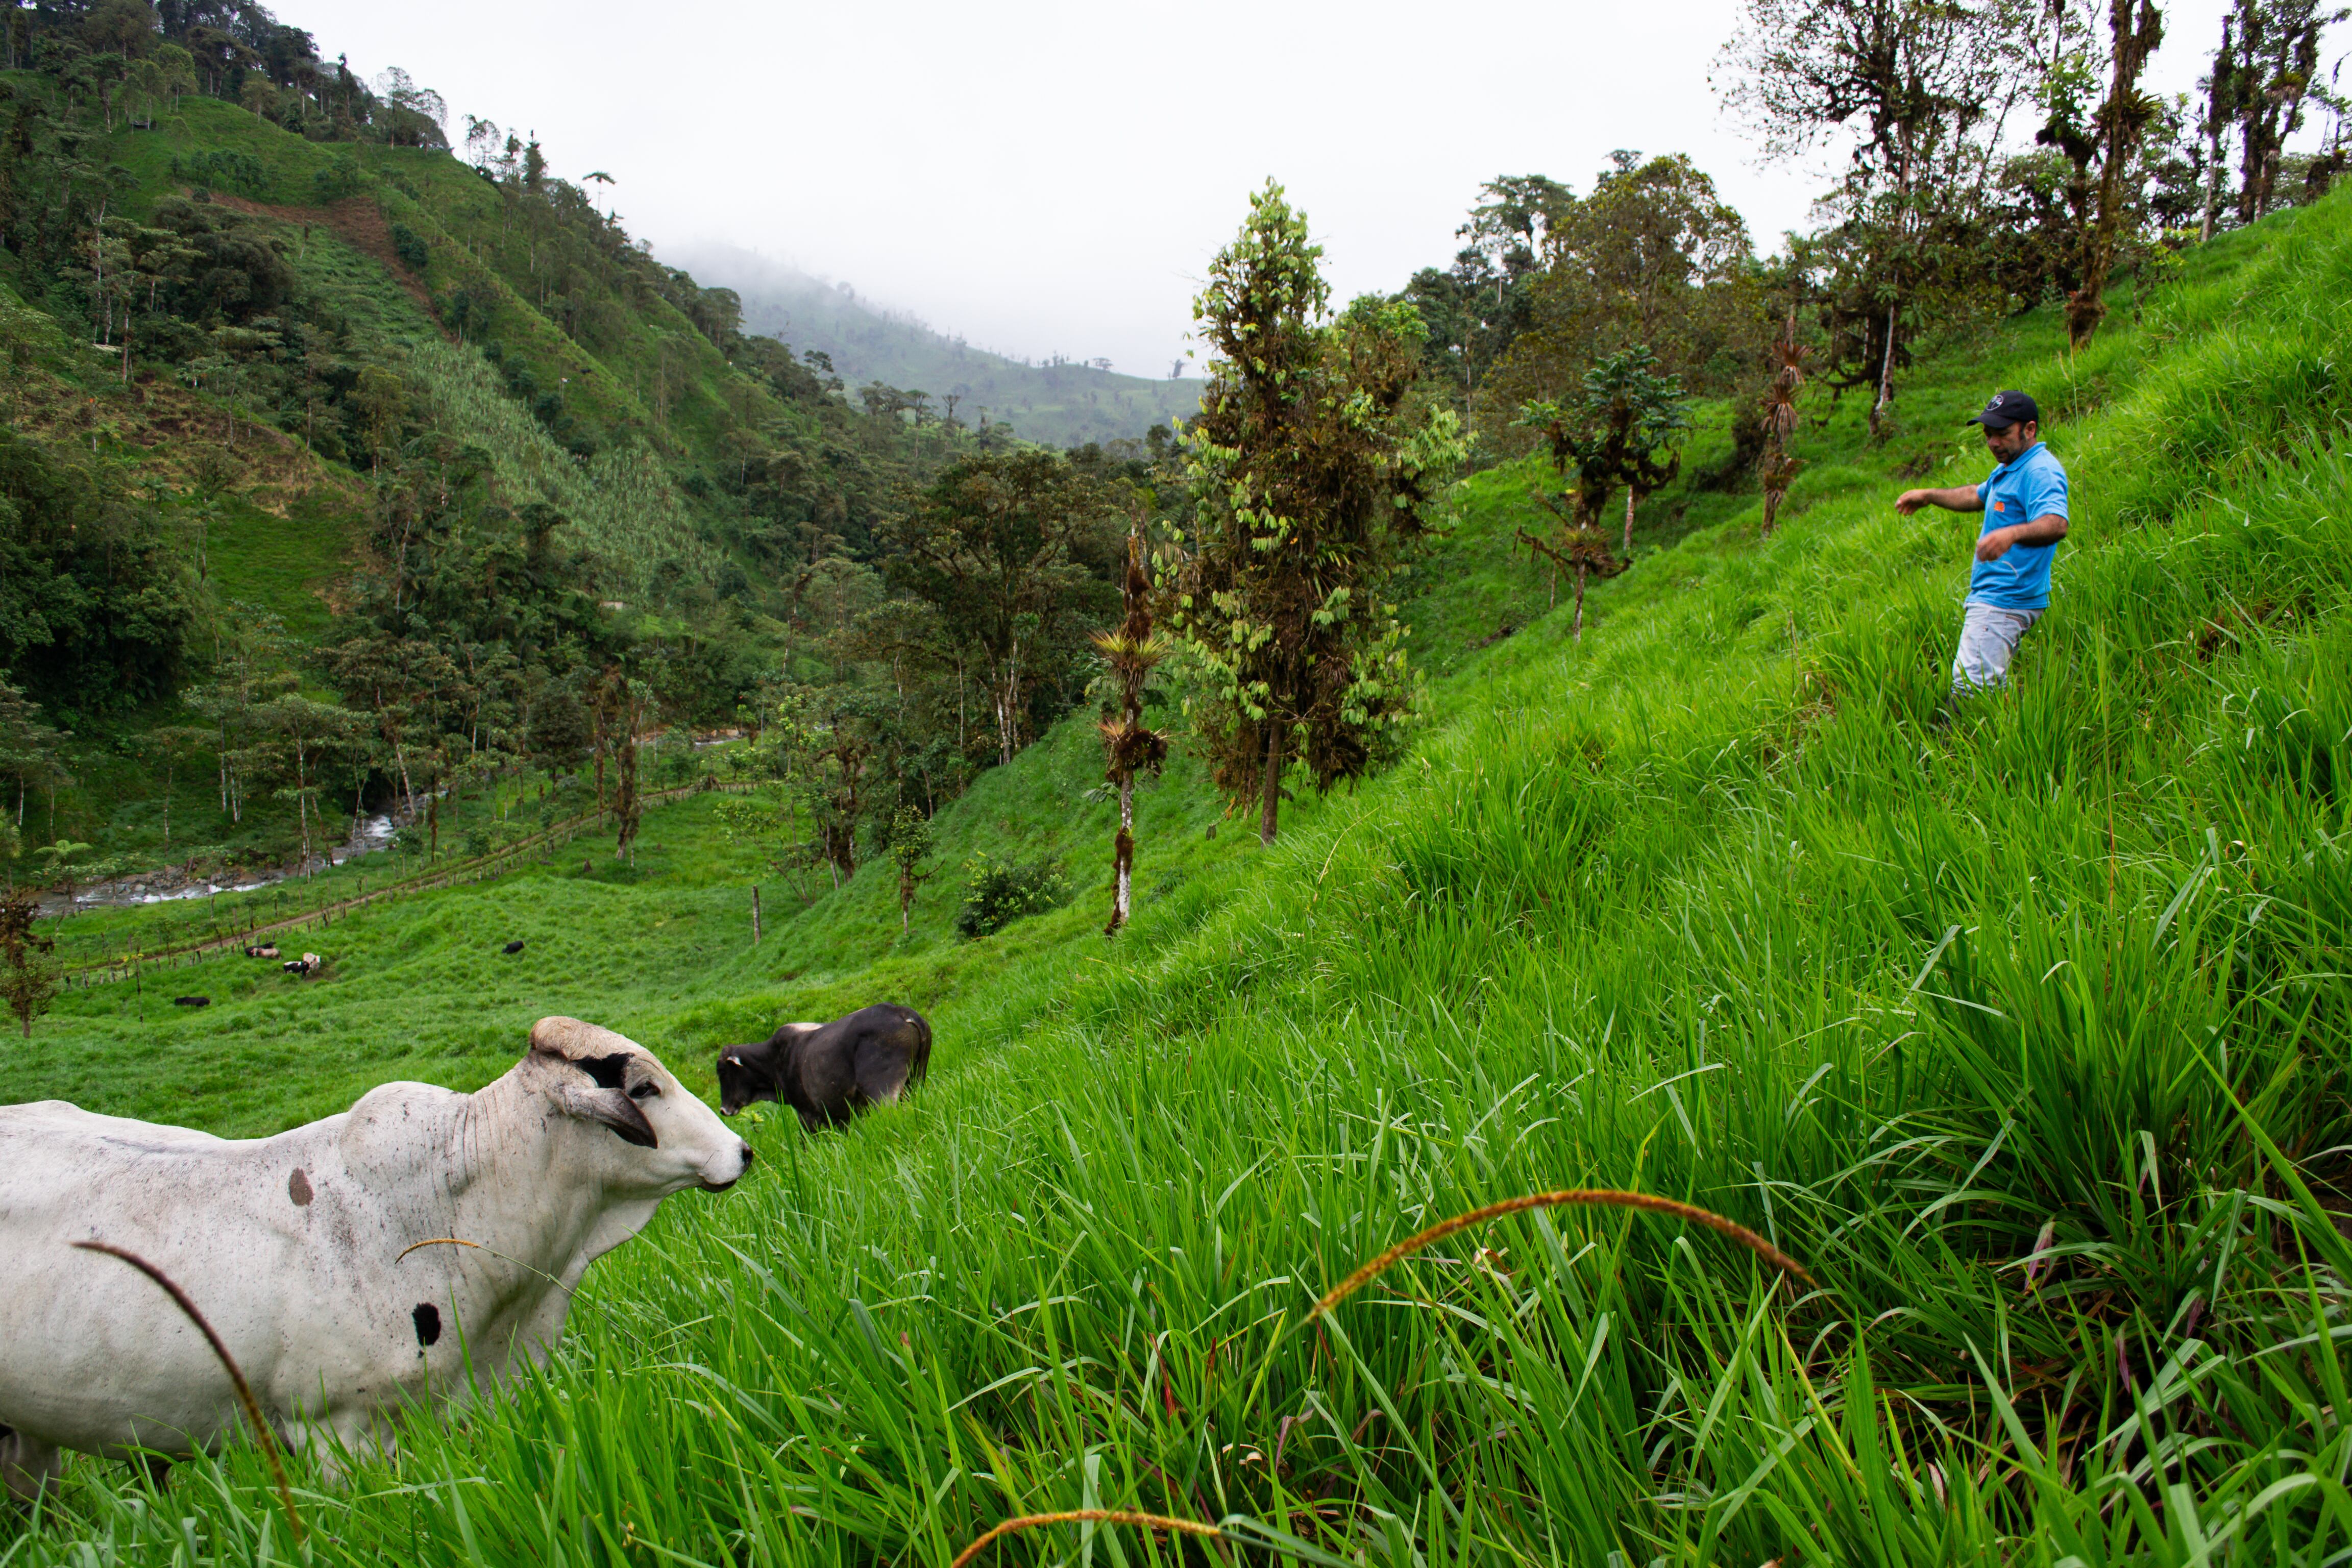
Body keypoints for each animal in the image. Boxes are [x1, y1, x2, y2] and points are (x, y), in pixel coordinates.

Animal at [710, 1006, 931, 1128]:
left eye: (722, 1071)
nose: (723, 1109)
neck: (774, 1061)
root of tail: (902, 1012)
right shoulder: (840, 1116)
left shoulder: (808, 1114)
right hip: (915, 1082)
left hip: (882, 1093)